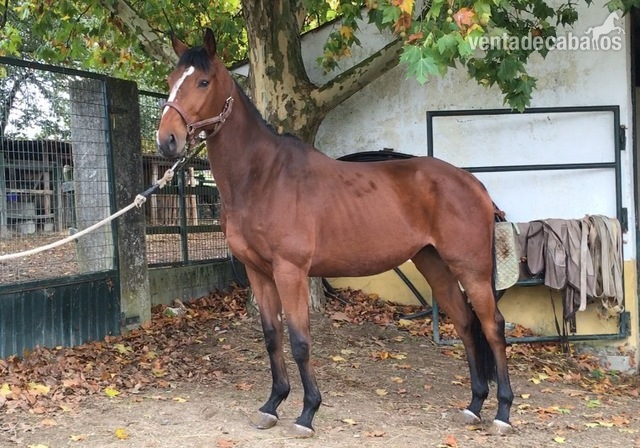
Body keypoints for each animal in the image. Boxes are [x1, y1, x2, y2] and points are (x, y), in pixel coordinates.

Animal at [156, 29, 514, 437]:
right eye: (170, 80)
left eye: (203, 81)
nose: (166, 139)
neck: (263, 177)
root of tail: (474, 184)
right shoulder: (258, 273)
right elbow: (272, 337)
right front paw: (272, 404)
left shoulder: (290, 271)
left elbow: (300, 342)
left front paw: (307, 413)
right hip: (435, 265)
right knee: (466, 325)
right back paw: (474, 405)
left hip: (471, 269)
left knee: (493, 326)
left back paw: (503, 412)